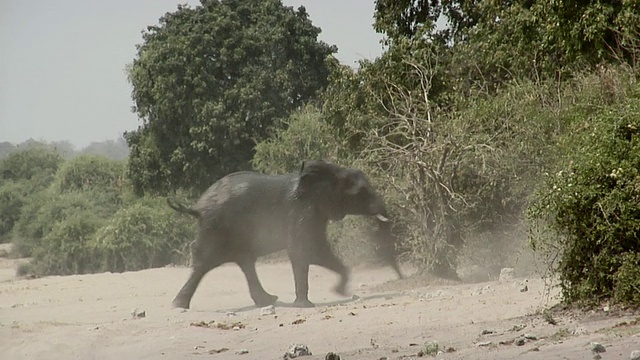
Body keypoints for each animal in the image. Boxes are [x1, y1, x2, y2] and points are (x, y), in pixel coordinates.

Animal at [168, 160, 402, 310]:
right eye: (361, 193)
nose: (401, 278)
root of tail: (197, 207)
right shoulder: (301, 211)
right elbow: (306, 250)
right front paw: (308, 305)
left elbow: (316, 250)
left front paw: (340, 291)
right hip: (217, 228)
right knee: (205, 263)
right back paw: (179, 306)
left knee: (244, 262)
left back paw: (269, 300)